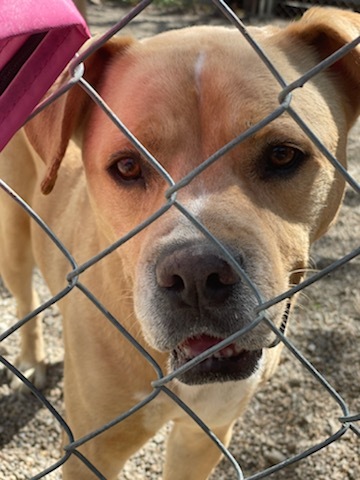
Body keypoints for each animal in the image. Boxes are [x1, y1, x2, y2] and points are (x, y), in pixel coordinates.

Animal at [0, 7, 358, 480]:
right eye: (127, 166)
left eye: (282, 154)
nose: (196, 275)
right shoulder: (90, 452)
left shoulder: (203, 436)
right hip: (13, 239)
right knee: (25, 297)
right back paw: (32, 360)